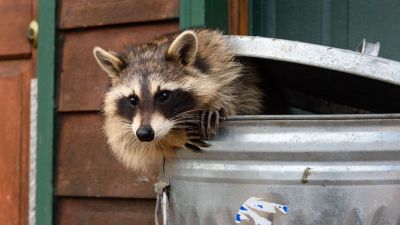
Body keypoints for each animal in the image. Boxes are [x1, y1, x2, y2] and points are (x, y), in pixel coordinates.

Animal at [92, 28, 264, 171]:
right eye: (132, 100)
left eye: (164, 96)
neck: (150, 52)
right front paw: (174, 137)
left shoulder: (221, 61)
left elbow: (237, 92)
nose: (144, 133)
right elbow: (129, 141)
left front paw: (216, 102)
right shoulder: (122, 123)